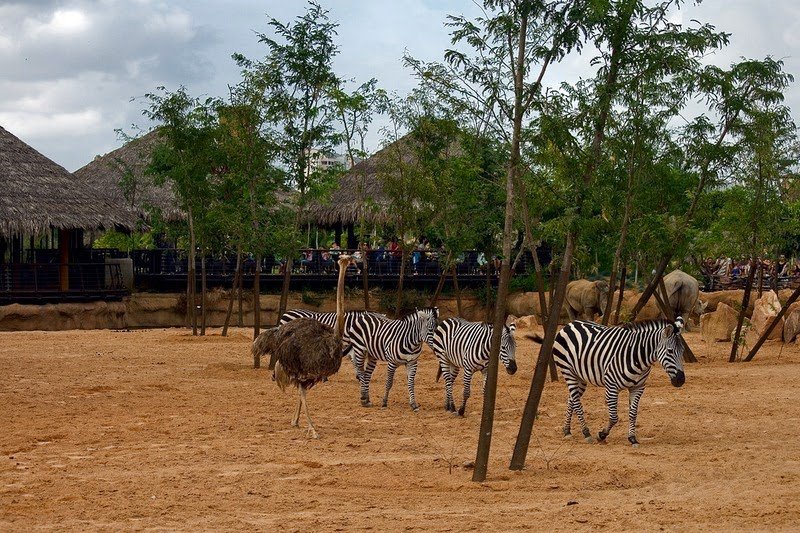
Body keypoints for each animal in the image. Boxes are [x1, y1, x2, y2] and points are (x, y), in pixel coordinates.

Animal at [536, 316, 684, 444]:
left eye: (683, 351)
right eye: (670, 351)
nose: (681, 380)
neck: (637, 358)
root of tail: (570, 324)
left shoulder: (638, 388)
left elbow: (633, 414)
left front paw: (632, 438)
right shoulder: (612, 386)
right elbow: (614, 417)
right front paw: (602, 435)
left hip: (580, 377)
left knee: (572, 398)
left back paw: (567, 430)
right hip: (568, 371)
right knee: (577, 402)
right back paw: (586, 433)